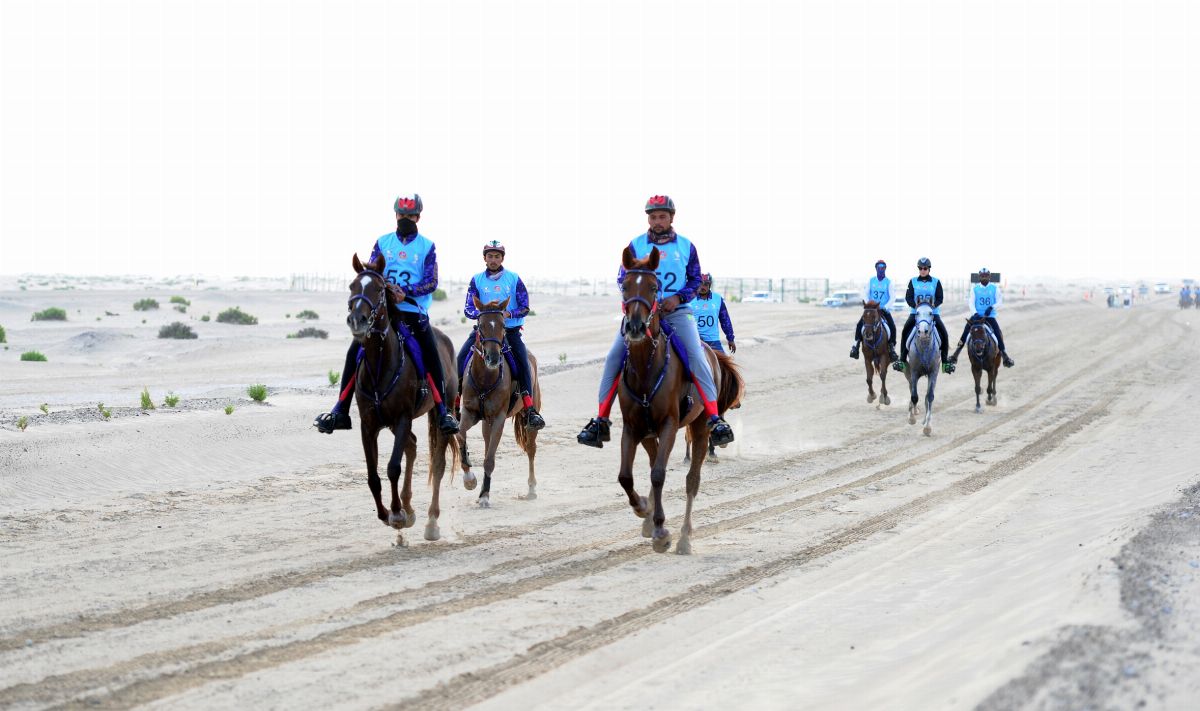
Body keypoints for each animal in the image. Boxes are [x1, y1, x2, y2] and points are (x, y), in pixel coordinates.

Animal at [350, 252, 460, 547]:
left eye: (379, 289)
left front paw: (397, 514)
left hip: (441, 412)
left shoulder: (401, 418)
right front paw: (388, 514)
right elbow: (373, 475)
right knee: (411, 445)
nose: (357, 320)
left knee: (437, 462)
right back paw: (410, 508)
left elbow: (392, 468)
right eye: (353, 287)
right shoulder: (368, 425)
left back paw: (430, 522)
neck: (380, 366)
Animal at [453, 294, 540, 504]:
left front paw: (484, 495)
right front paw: (470, 479)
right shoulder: (469, 413)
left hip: (528, 417)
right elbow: (460, 435)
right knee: (486, 443)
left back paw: (531, 489)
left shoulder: (499, 418)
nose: (492, 358)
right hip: (486, 421)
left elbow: (490, 460)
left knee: (531, 449)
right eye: (480, 325)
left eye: (502, 325)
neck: (485, 378)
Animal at [619, 246, 739, 554]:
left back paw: (684, 538)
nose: (635, 326)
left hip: (698, 426)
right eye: (625, 286)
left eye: (654, 287)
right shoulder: (632, 427)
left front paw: (662, 532)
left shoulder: (670, 425)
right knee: (653, 464)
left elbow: (660, 474)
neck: (646, 369)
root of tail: (710, 352)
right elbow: (627, 476)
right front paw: (644, 510)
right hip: (650, 434)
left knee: (691, 480)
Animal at [902, 303, 940, 437]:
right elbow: (914, 396)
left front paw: (927, 427)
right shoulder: (914, 373)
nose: (923, 332)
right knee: (911, 389)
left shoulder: (933, 373)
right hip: (908, 372)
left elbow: (930, 397)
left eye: (931, 313)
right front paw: (911, 418)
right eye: (917, 313)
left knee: (927, 397)